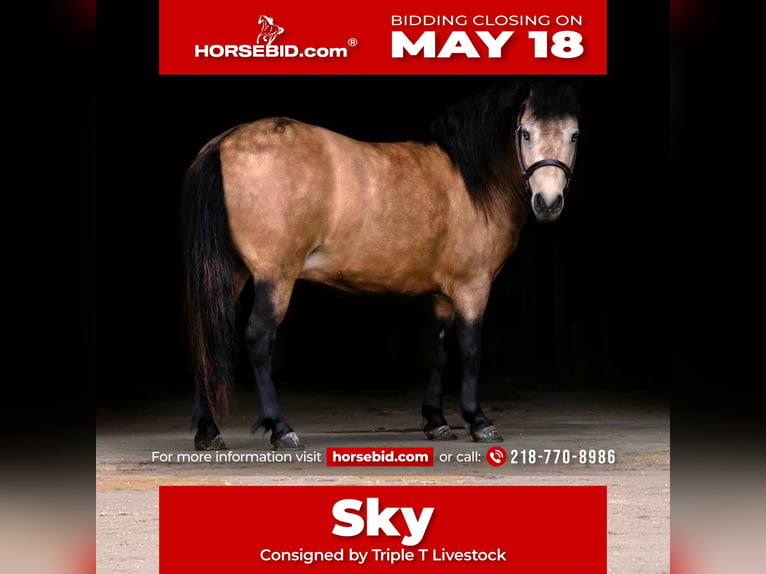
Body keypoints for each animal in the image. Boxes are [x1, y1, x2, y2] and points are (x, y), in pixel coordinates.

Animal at [180, 78, 581, 450]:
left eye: (574, 135)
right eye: (525, 132)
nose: (548, 202)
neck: (470, 180)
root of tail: (224, 143)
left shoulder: (444, 295)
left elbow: (441, 349)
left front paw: (436, 421)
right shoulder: (473, 286)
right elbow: (470, 348)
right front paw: (478, 421)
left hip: (231, 274)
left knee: (204, 338)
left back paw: (208, 432)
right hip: (275, 276)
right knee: (258, 338)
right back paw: (282, 430)